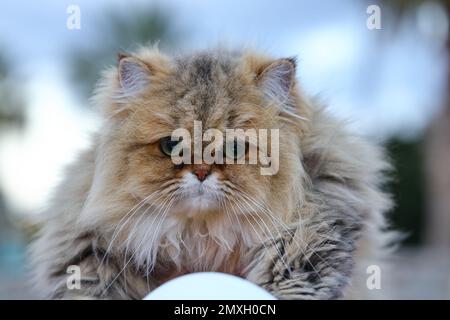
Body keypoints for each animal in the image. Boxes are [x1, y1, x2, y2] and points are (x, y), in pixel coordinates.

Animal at [29, 46, 392, 298]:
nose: (202, 172)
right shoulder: (87, 252)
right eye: (172, 145)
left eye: (234, 148)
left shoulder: (317, 228)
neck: (202, 236)